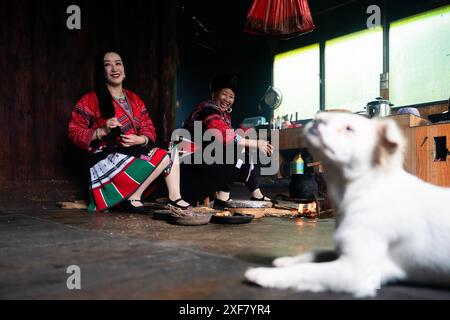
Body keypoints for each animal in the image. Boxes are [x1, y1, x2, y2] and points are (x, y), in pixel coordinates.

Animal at [244, 112, 450, 298]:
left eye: (349, 128)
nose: (317, 117)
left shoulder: (356, 271)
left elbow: (309, 270)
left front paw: (263, 274)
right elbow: (317, 253)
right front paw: (287, 260)